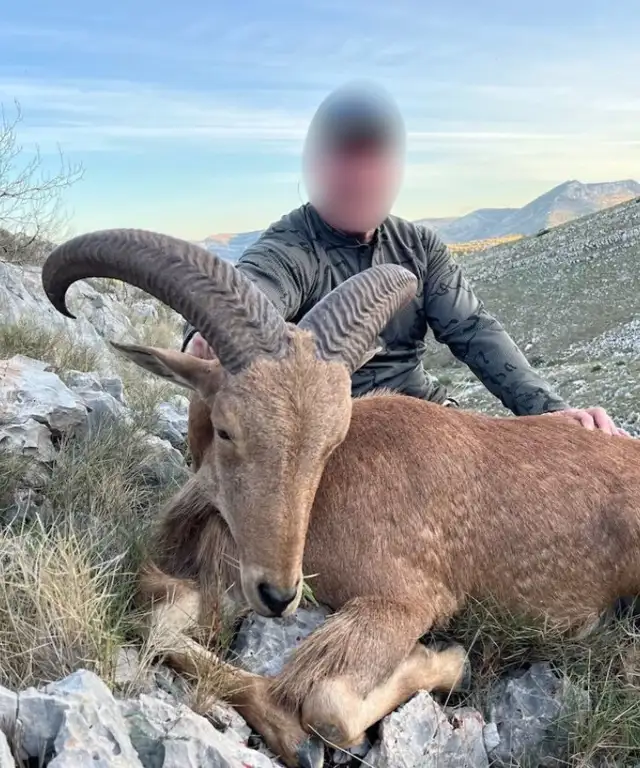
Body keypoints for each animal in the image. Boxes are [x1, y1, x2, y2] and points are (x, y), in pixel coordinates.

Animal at [41, 228, 640, 768]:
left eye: (332, 442)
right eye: (227, 430)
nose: (279, 594)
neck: (324, 504)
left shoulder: (405, 599)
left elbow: (327, 705)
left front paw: (446, 660)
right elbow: (159, 622)